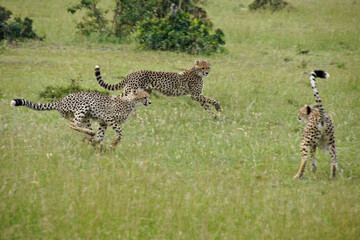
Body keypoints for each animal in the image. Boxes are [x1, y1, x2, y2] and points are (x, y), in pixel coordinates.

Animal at [10, 88, 150, 148]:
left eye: (148, 96)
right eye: (144, 97)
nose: (150, 102)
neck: (130, 102)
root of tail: (60, 101)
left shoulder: (103, 122)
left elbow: (101, 136)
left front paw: (97, 142)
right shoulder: (108, 117)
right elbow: (120, 132)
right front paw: (115, 142)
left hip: (86, 117)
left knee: (80, 127)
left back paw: (89, 136)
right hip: (83, 106)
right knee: (73, 124)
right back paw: (89, 134)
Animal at [93, 60, 222, 118]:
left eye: (208, 67)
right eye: (202, 68)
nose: (206, 73)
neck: (195, 71)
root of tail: (133, 73)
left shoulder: (197, 96)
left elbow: (206, 105)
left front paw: (214, 116)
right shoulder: (195, 95)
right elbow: (211, 100)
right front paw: (218, 108)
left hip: (144, 92)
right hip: (131, 89)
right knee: (119, 98)